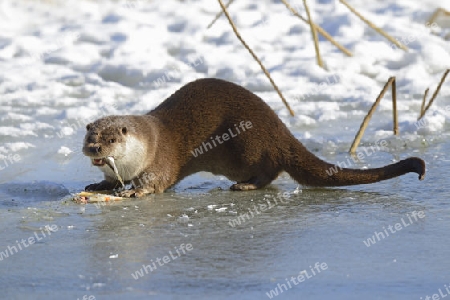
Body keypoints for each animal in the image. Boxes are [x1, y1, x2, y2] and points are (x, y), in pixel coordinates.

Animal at [81, 77, 426, 197]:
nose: (94, 148)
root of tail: (280, 129)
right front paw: (99, 185)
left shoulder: (161, 158)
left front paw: (137, 191)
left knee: (270, 171)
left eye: (111, 139)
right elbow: (110, 181)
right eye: (90, 137)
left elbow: (158, 181)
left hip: (248, 147)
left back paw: (245, 185)